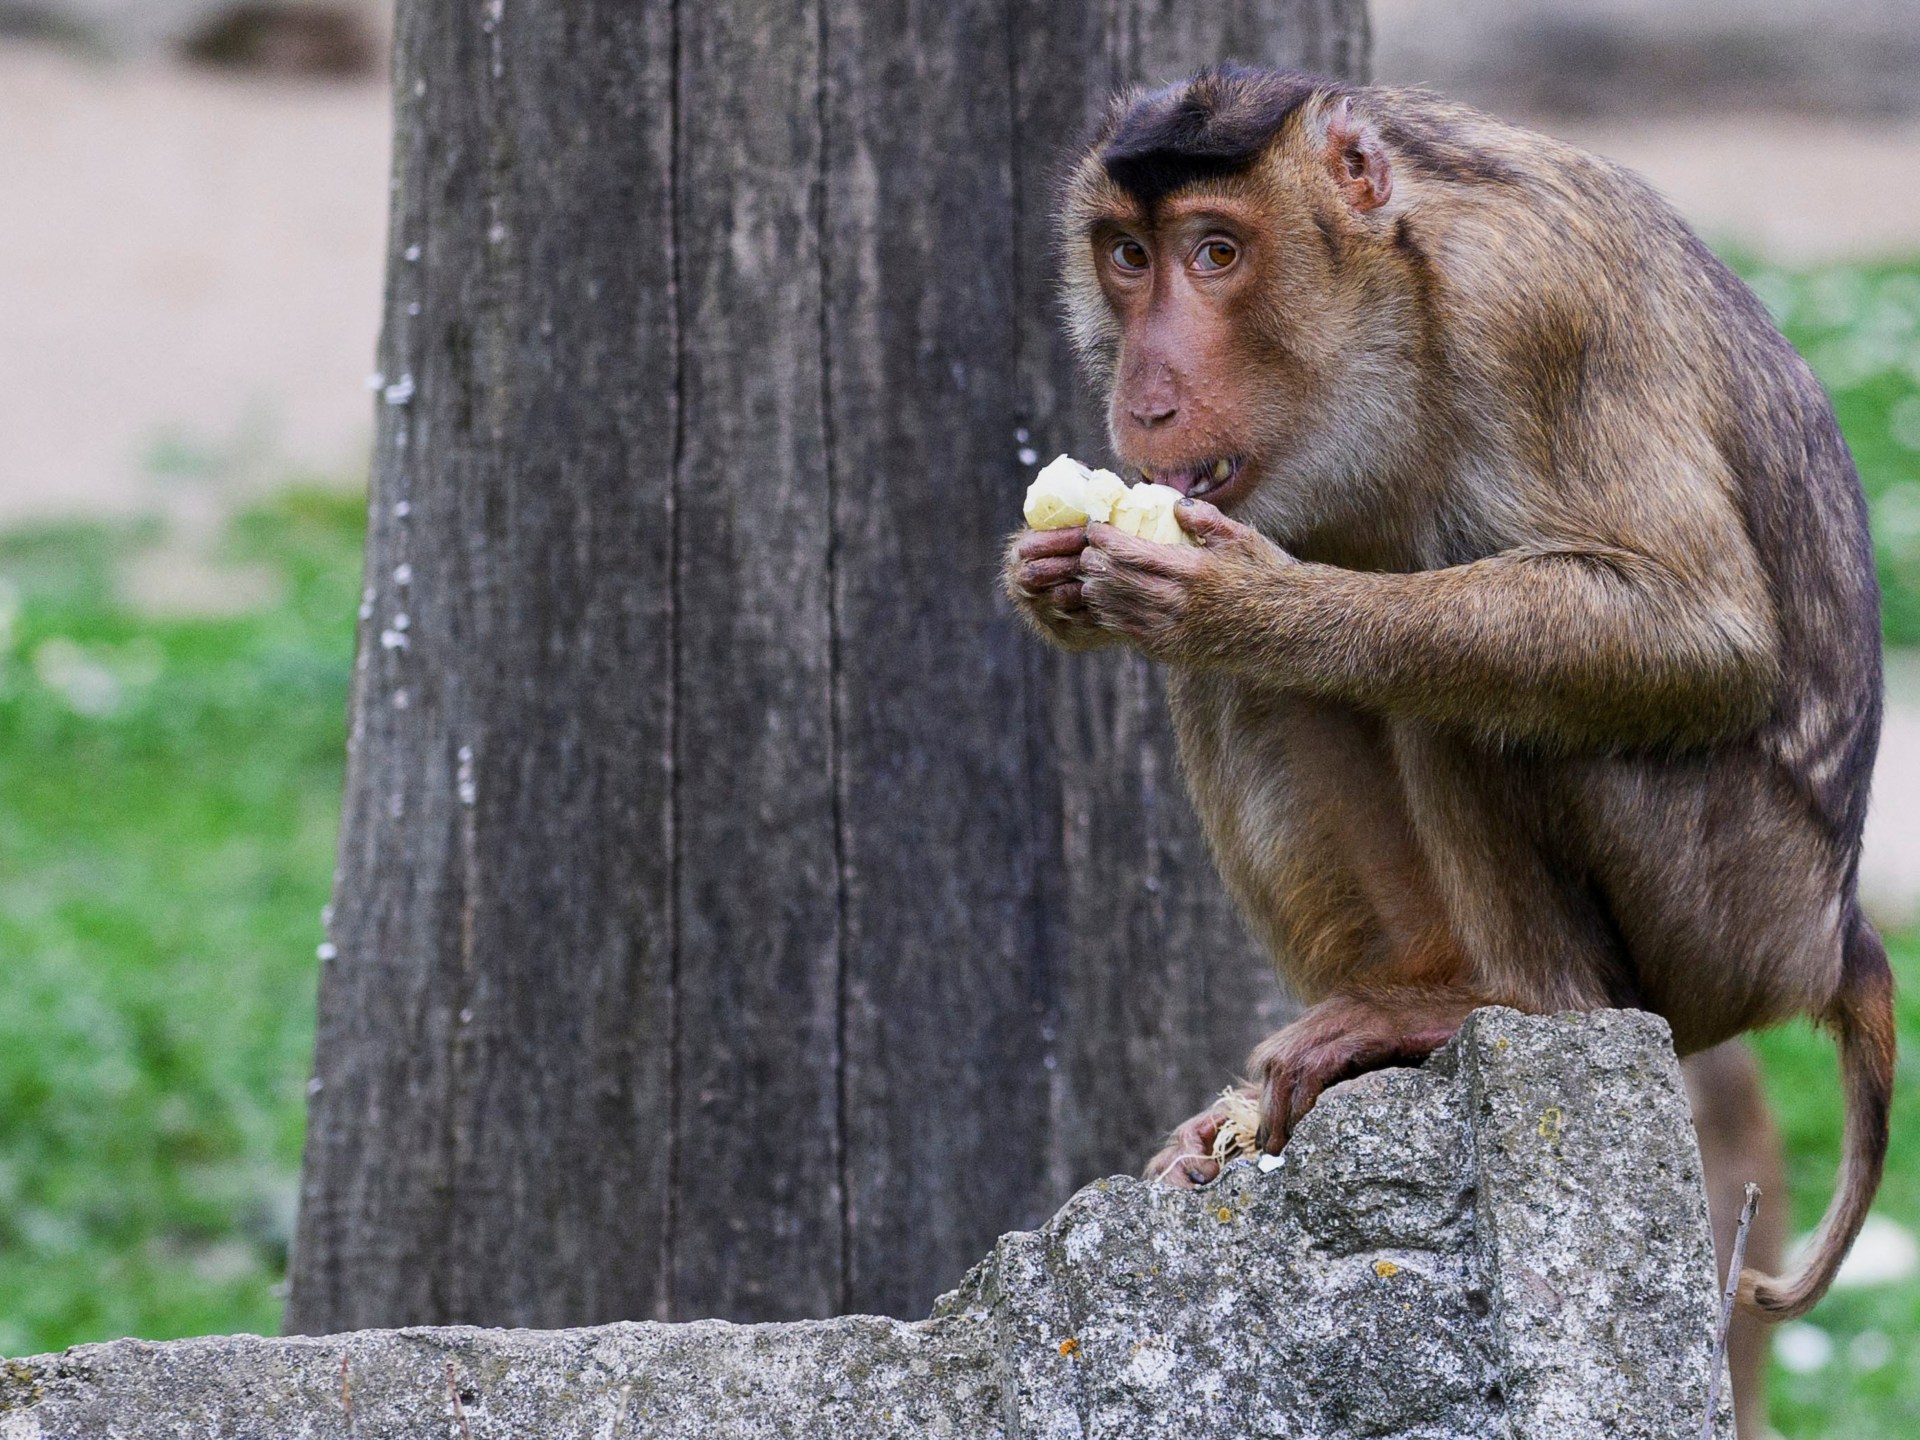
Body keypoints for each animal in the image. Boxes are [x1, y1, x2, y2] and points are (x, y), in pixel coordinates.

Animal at [1003, 65, 1891, 1328]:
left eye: (1217, 253)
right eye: (1129, 257)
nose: (1147, 397)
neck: (1399, 287)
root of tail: (1833, 937)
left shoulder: (1534, 307)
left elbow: (1700, 635)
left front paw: (1244, 603)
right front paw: (1054, 578)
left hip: (1725, 912)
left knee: (1477, 685)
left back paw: (1520, 1005)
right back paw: (1396, 1019)